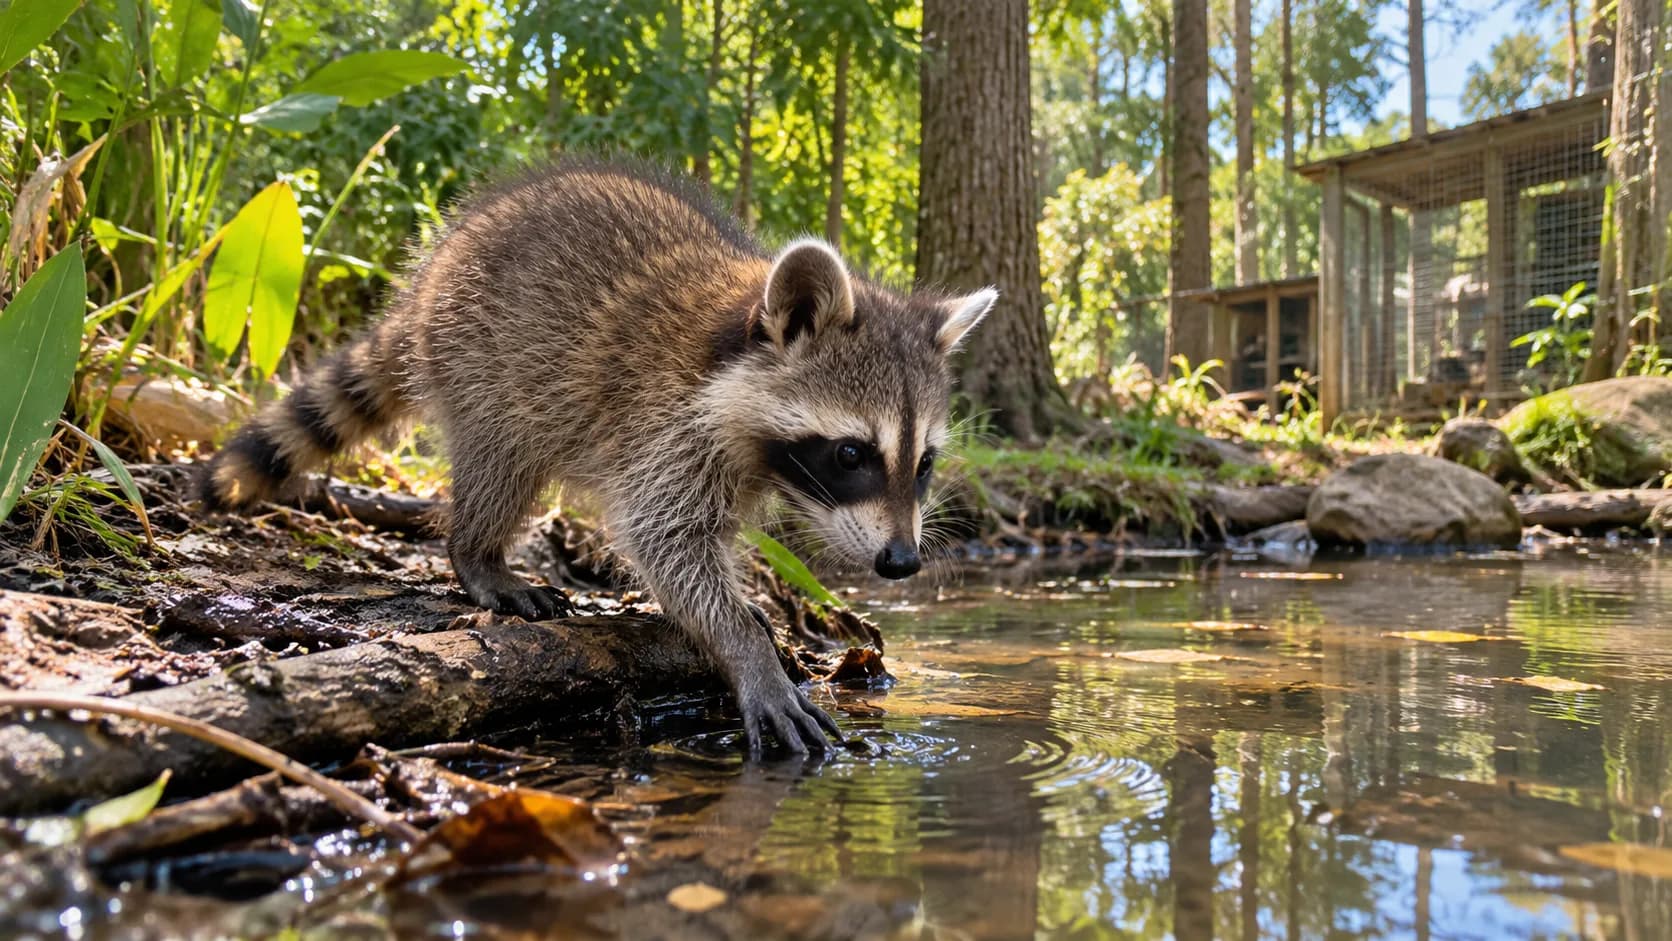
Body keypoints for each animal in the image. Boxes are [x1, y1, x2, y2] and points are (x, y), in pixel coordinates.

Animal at [201, 159, 994, 754]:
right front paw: (745, 648)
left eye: (923, 463)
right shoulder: (665, 424)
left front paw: (744, 609)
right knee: (500, 463)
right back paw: (476, 551)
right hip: (483, 359)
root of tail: (427, 284)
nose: (901, 561)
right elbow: (662, 536)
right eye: (852, 452)